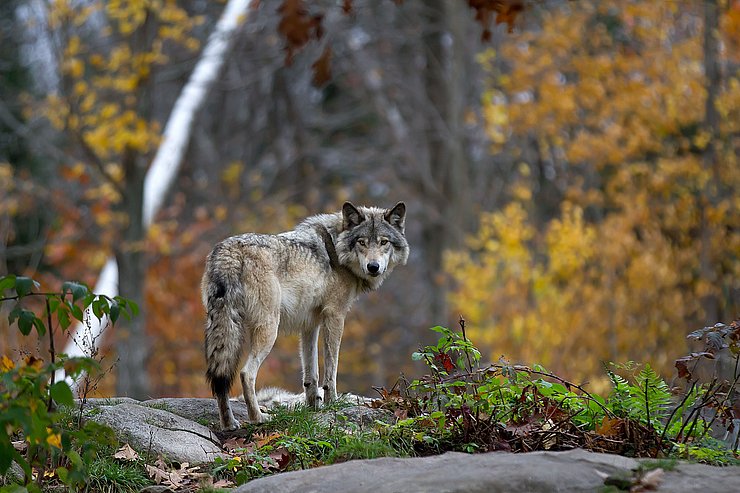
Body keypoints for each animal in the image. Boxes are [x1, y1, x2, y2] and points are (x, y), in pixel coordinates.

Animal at [202, 201, 408, 430]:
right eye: (362, 242)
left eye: (383, 242)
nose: (373, 267)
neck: (336, 248)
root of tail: (229, 251)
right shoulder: (335, 316)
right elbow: (331, 370)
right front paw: (331, 404)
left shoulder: (310, 325)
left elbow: (311, 374)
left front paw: (313, 408)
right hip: (269, 329)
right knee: (246, 373)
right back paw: (259, 418)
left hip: (223, 328)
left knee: (220, 378)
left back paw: (229, 423)